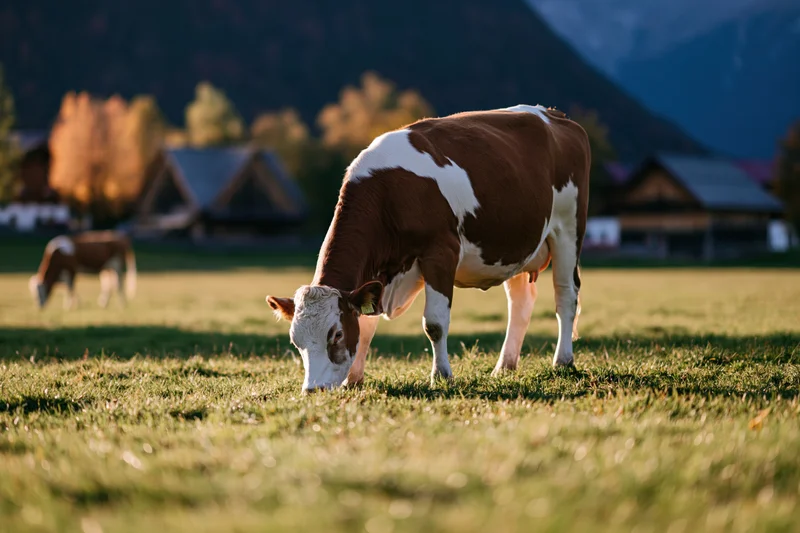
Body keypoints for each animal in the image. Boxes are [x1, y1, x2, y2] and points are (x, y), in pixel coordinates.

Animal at [266, 105, 590, 393]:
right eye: (296, 341)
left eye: (336, 334)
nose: (313, 389)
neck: (390, 193)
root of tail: (555, 115)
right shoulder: (378, 273)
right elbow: (367, 323)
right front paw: (353, 379)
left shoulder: (440, 253)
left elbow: (434, 324)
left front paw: (441, 375)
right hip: (515, 248)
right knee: (521, 304)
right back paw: (504, 367)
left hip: (568, 229)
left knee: (566, 296)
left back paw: (562, 361)